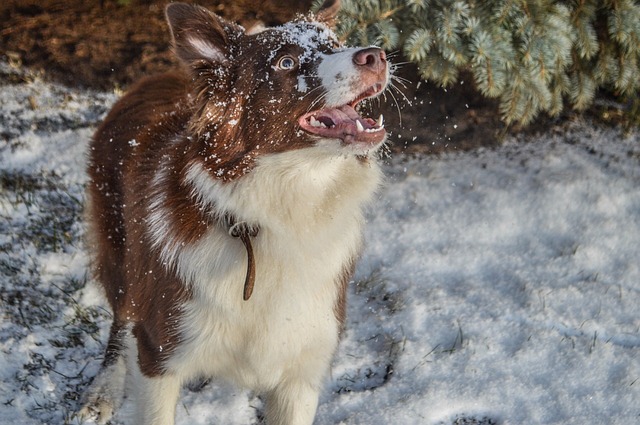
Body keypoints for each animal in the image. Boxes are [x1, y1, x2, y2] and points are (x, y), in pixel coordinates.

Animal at [80, 1, 390, 422]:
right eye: (286, 62)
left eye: (335, 43)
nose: (376, 55)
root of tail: (155, 77)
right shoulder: (159, 354)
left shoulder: (301, 369)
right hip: (121, 254)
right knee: (121, 318)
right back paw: (102, 391)